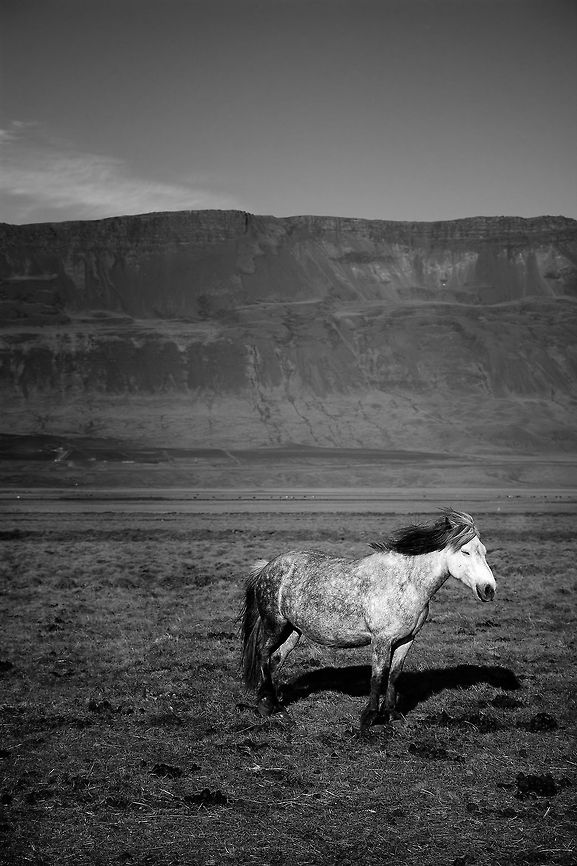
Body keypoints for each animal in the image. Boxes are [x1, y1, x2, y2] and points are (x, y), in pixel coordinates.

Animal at [240, 508, 496, 731]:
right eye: (465, 552)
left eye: (483, 551)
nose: (489, 589)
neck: (405, 584)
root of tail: (267, 567)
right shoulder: (381, 640)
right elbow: (378, 676)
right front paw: (369, 718)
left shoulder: (406, 640)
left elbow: (393, 676)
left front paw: (393, 716)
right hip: (275, 625)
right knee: (263, 654)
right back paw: (270, 706)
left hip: (293, 631)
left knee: (275, 659)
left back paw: (273, 704)